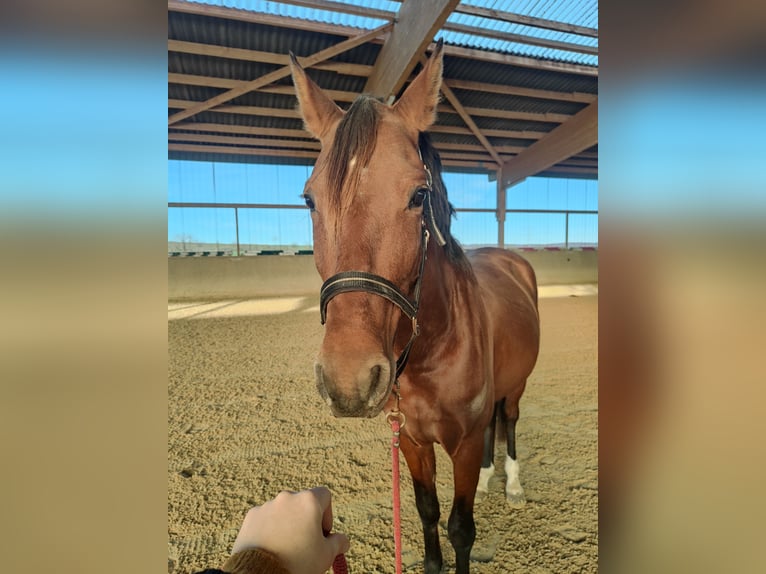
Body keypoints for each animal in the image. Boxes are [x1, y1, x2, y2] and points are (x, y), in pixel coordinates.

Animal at [292, 41, 544, 574]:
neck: (434, 348)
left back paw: (511, 485)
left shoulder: (462, 445)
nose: (348, 380)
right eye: (309, 200)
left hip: (516, 386)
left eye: (419, 194)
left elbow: (460, 528)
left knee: (509, 420)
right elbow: (427, 513)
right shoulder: (411, 440)